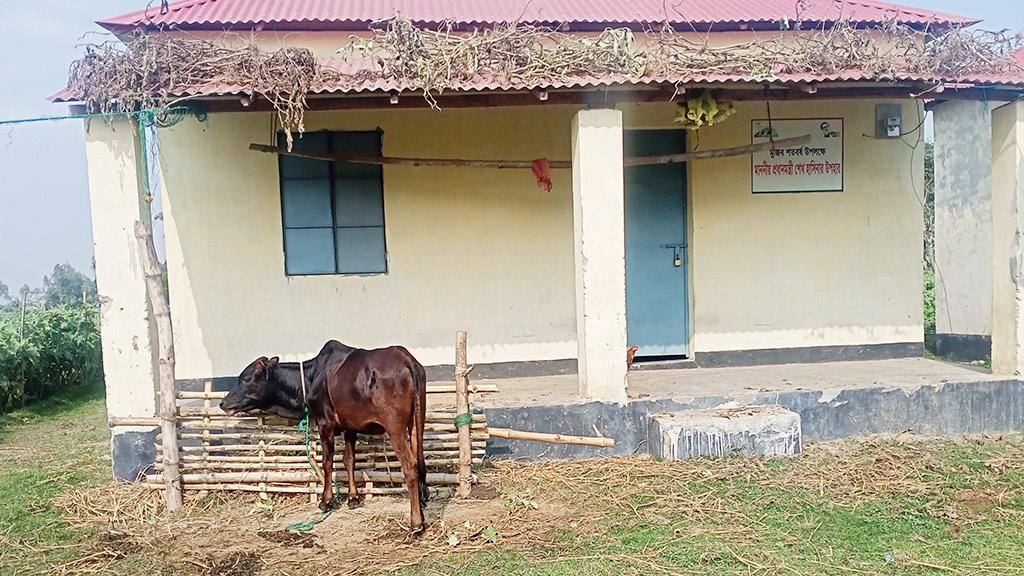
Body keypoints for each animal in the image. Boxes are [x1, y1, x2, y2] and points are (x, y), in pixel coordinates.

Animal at [222, 338, 430, 532]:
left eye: (247, 378)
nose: (223, 403)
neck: (311, 377)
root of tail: (407, 360)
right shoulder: (350, 426)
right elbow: (349, 460)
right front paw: (353, 498)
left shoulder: (325, 423)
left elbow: (327, 462)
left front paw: (325, 500)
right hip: (416, 421)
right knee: (419, 461)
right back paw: (421, 506)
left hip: (395, 427)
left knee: (410, 466)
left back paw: (416, 523)